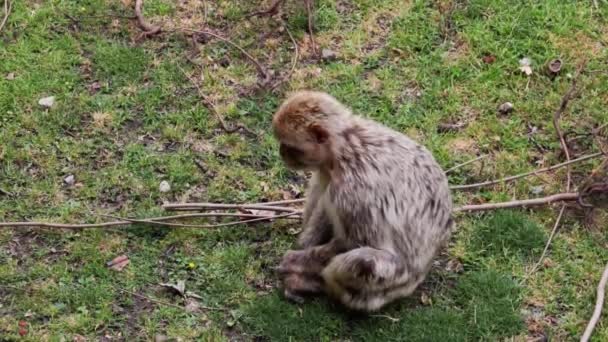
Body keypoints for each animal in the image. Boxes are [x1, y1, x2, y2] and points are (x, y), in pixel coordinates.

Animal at [274, 89, 454, 312]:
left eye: (290, 146)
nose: (281, 152)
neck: (345, 146)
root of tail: (421, 275)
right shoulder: (329, 171)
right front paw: (304, 246)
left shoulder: (353, 191)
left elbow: (354, 242)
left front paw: (296, 260)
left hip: (395, 282)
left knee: (366, 262)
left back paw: (319, 284)